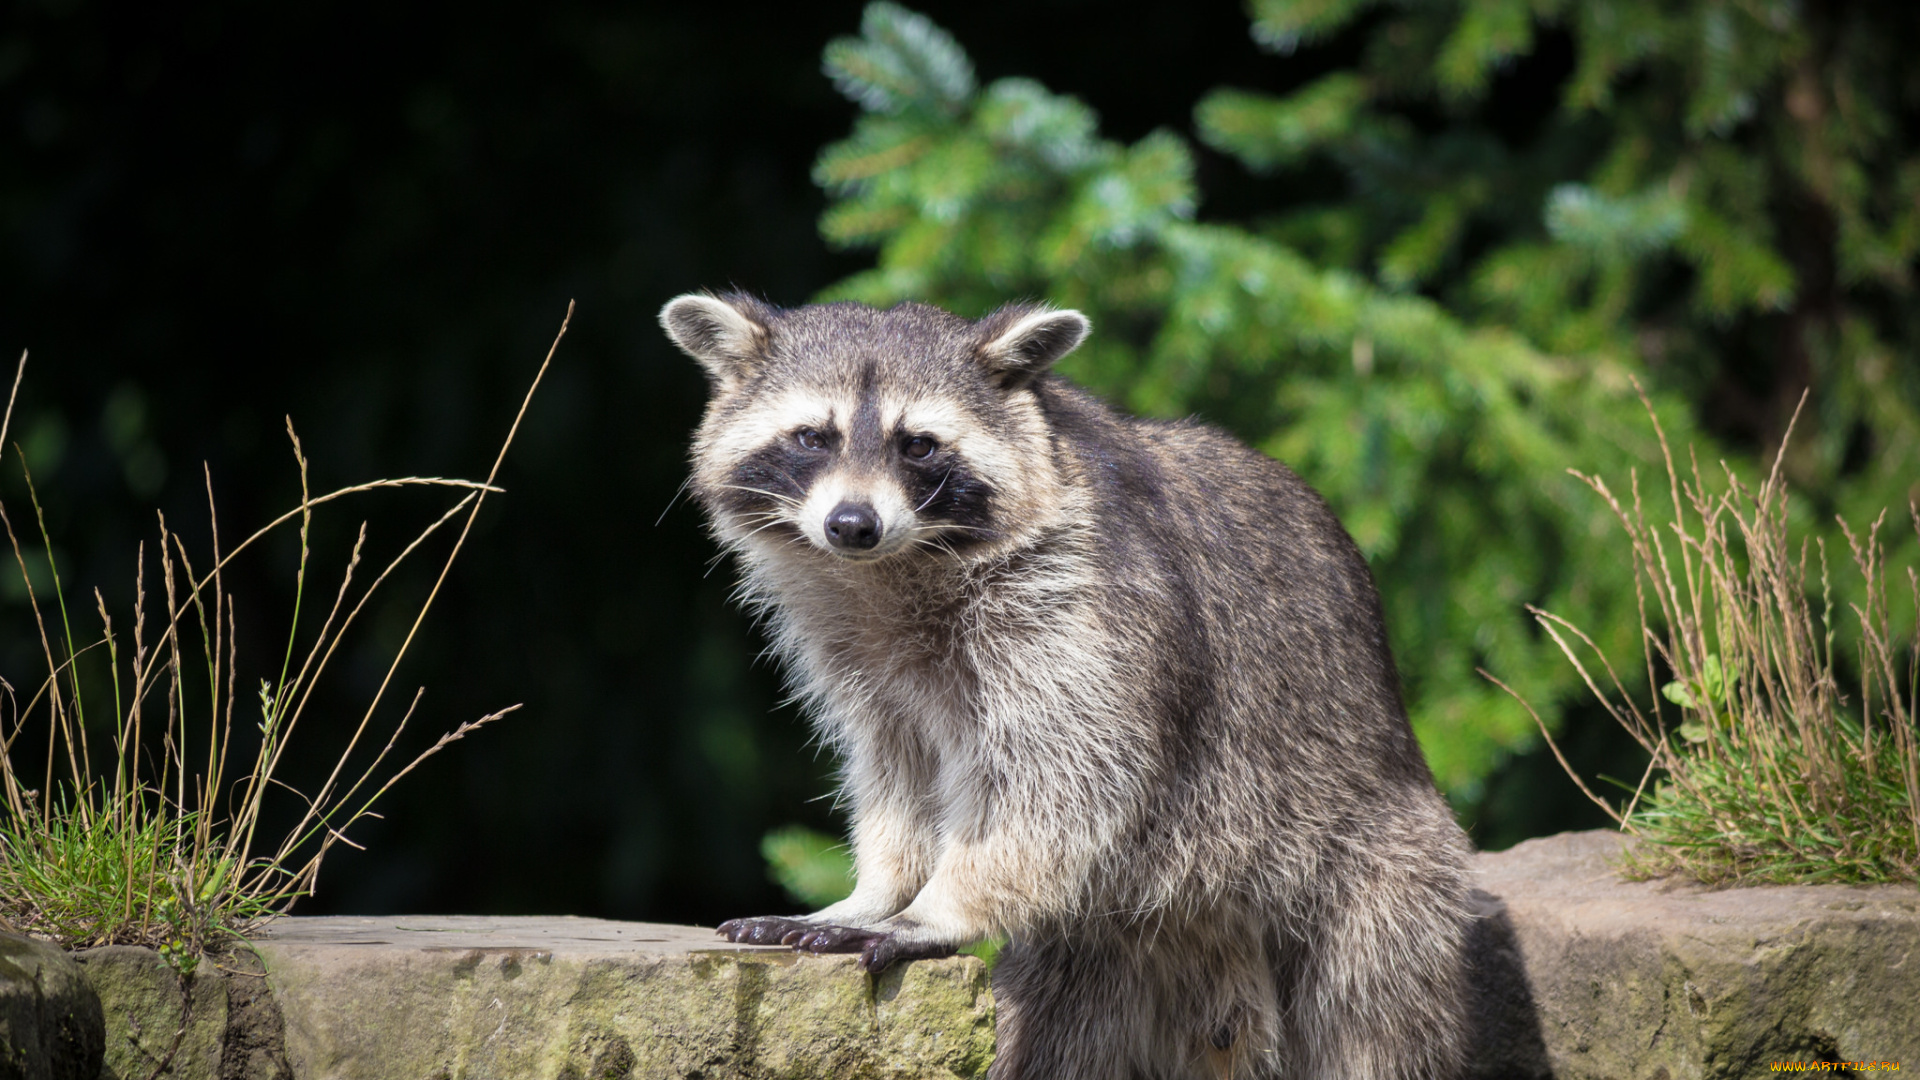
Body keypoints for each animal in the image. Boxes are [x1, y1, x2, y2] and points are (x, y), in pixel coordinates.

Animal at [660, 292, 1466, 1076]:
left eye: (917, 444)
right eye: (811, 438)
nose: (852, 524)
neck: (894, 570)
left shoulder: (1088, 604)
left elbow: (1070, 779)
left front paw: (937, 906)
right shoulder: (861, 658)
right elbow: (898, 769)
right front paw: (877, 890)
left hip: (1363, 872)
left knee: (1371, 1012)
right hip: (1098, 956)